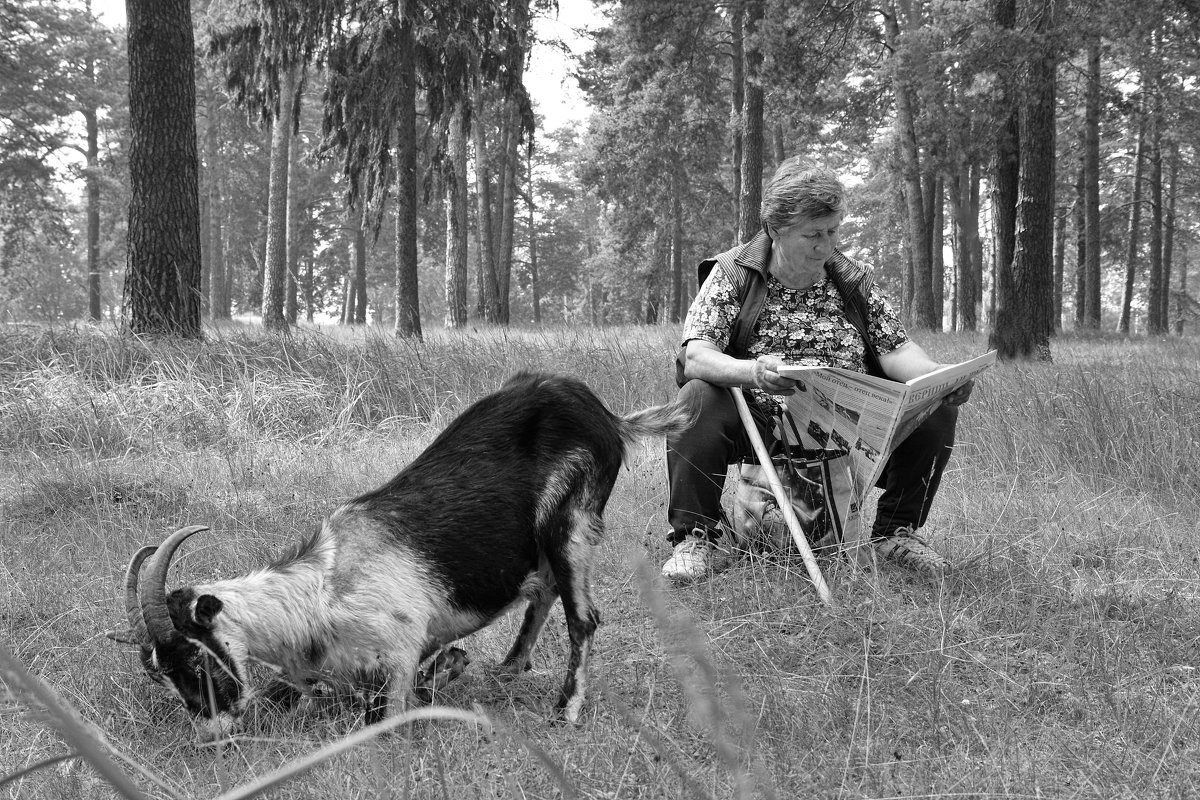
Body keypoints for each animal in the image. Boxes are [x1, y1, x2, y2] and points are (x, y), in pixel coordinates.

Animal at [114, 371, 696, 743]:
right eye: (158, 675)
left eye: (195, 659)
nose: (213, 733)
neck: (321, 590)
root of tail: (608, 417)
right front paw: (454, 665)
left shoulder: (398, 646)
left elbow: (389, 713)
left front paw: (446, 671)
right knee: (544, 587)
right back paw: (507, 668)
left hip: (571, 520)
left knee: (583, 616)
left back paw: (566, 710)